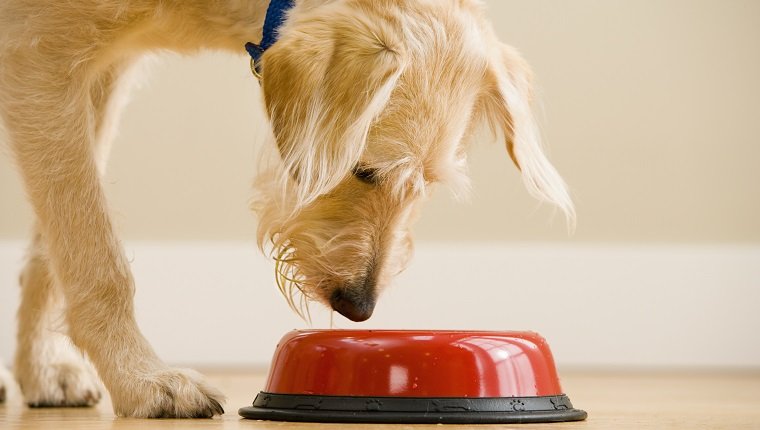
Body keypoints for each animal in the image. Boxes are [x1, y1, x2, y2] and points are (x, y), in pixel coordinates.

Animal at [0, 0, 568, 418]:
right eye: (363, 170)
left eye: (426, 186)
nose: (359, 308)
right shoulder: (40, 57)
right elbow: (95, 251)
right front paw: (141, 380)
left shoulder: (97, 74)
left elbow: (53, 246)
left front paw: (42, 369)